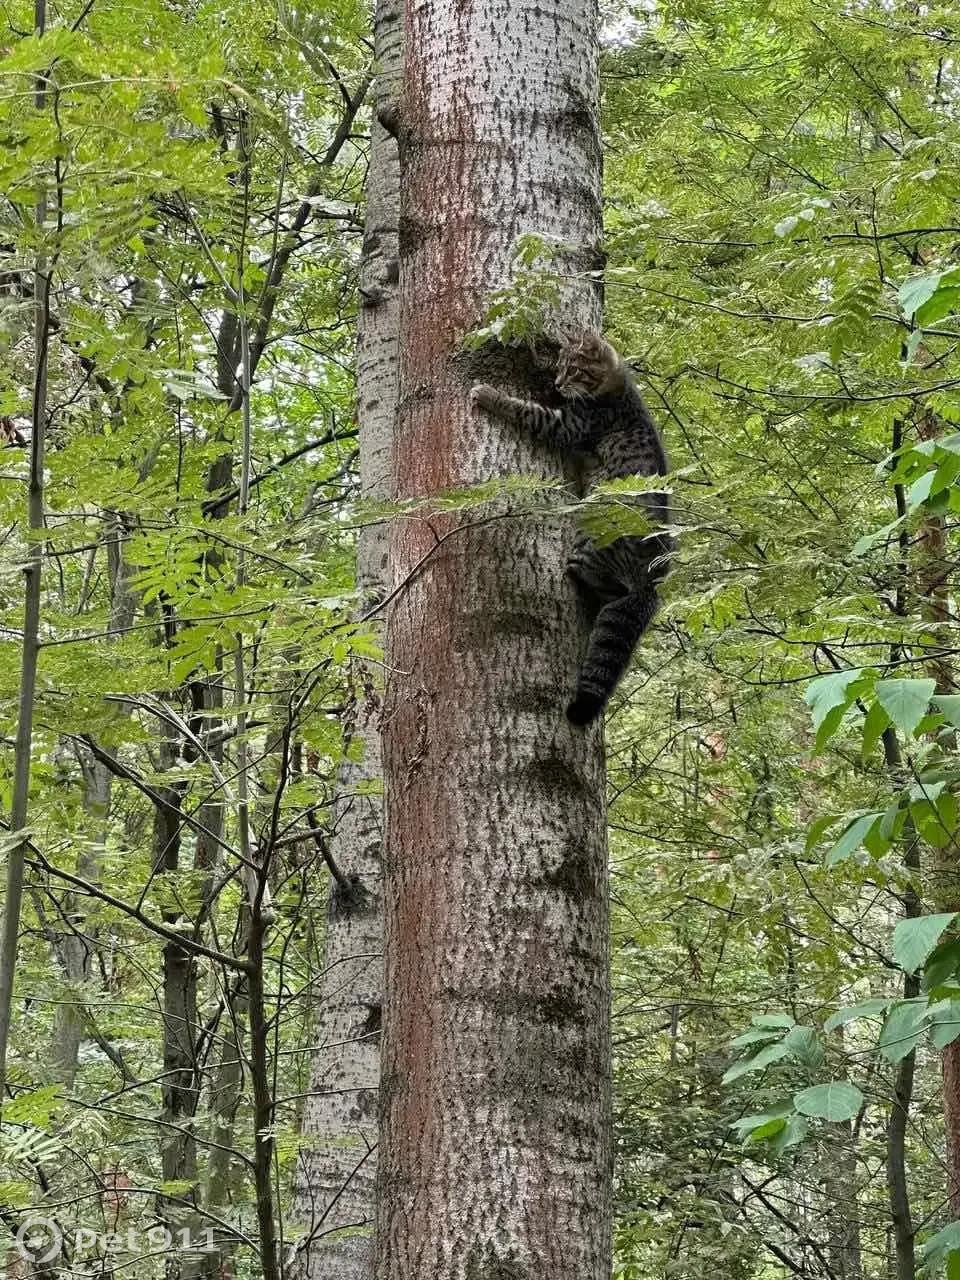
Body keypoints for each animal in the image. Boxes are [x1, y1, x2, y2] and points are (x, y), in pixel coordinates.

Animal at [471, 330, 670, 727]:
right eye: (560, 367)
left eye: (573, 369)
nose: (558, 383)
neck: (614, 382)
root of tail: (654, 577)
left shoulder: (569, 425)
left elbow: (526, 410)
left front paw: (489, 395)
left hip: (597, 530)